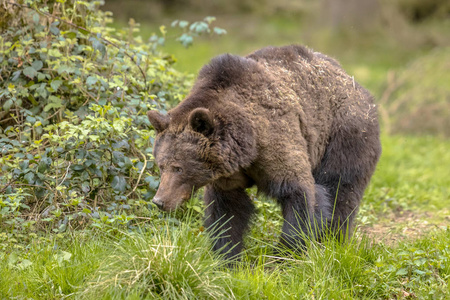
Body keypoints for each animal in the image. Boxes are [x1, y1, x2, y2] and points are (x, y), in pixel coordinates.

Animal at [147, 44, 380, 258]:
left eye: (178, 167)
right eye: (161, 165)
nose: (159, 201)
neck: (247, 145)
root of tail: (357, 85)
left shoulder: (277, 141)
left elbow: (301, 194)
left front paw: (287, 253)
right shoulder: (229, 175)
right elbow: (227, 212)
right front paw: (227, 256)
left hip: (344, 133)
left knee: (341, 187)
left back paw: (333, 240)